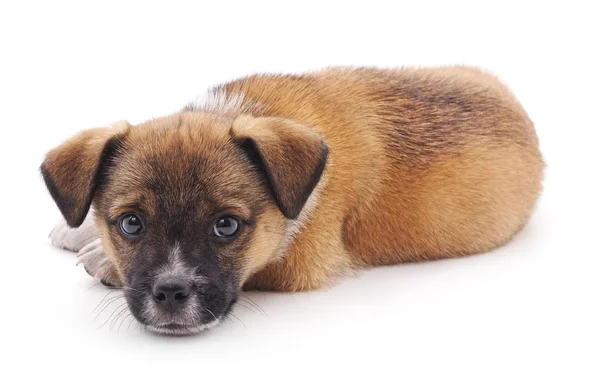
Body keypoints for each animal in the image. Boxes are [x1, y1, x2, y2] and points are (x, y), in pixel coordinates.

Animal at [41, 67, 544, 334]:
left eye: (226, 226)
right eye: (131, 224)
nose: (169, 293)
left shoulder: (300, 263)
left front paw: (101, 258)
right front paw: (81, 228)